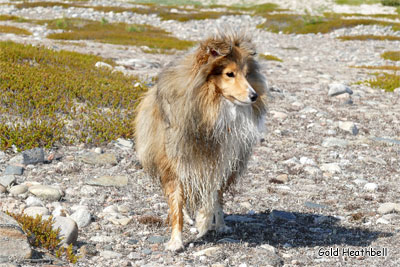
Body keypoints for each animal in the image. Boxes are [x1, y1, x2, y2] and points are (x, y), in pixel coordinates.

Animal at [134, 28, 268, 251]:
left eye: (247, 73)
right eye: (229, 74)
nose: (254, 96)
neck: (210, 108)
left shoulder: (220, 161)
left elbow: (212, 196)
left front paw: (204, 221)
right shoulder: (175, 164)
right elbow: (177, 204)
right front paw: (176, 241)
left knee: (218, 198)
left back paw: (218, 224)